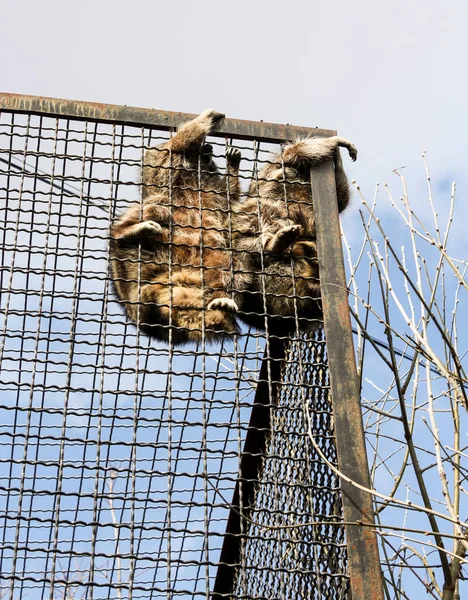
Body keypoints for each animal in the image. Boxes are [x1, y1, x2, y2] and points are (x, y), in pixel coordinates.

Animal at [110, 109, 249, 344]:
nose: (208, 148)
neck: (194, 179)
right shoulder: (163, 170)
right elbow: (172, 148)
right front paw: (203, 120)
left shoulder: (217, 198)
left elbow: (230, 199)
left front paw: (232, 168)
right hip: (126, 272)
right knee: (158, 208)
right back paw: (125, 231)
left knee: (227, 265)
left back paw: (221, 300)